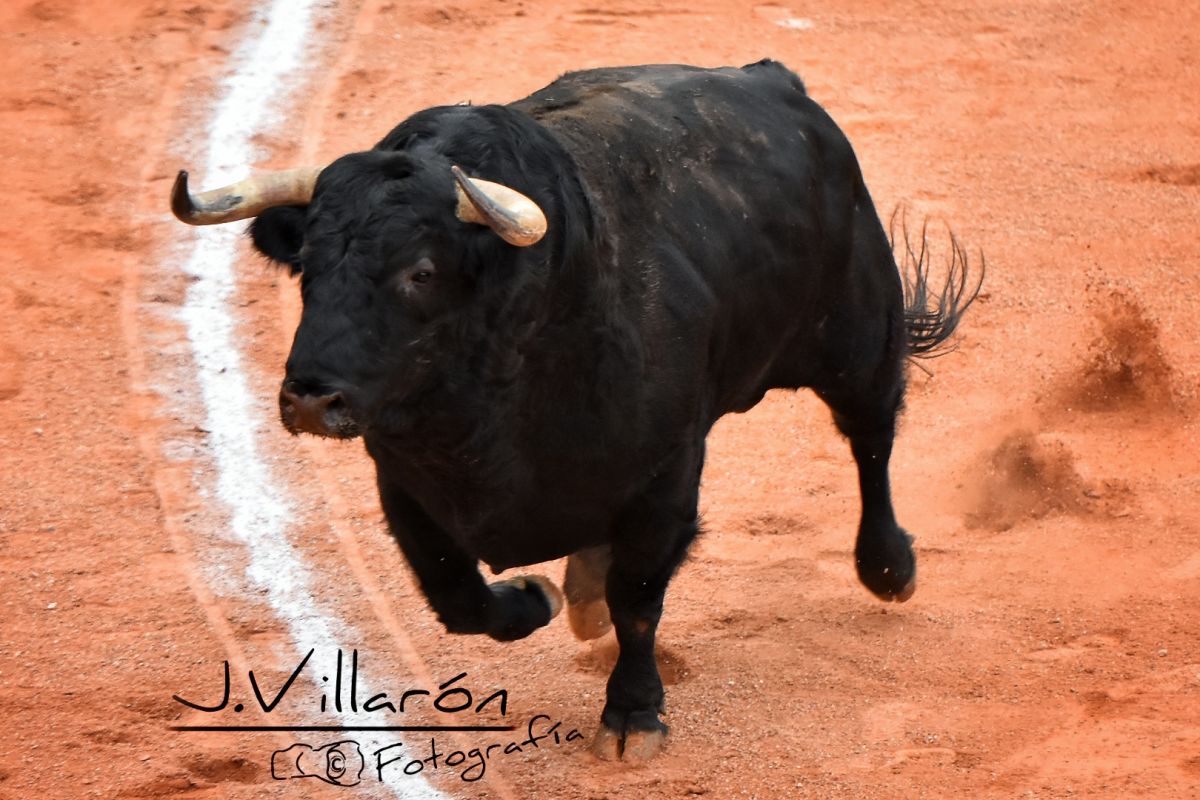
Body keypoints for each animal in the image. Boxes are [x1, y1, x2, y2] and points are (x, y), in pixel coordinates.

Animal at [171, 60, 980, 761]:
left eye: (420, 272)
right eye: (307, 266)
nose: (311, 396)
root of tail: (775, 80)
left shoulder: (664, 477)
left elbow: (640, 597)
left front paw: (633, 716)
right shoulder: (405, 484)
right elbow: (458, 597)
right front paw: (536, 596)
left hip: (859, 329)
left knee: (871, 434)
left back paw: (889, 565)